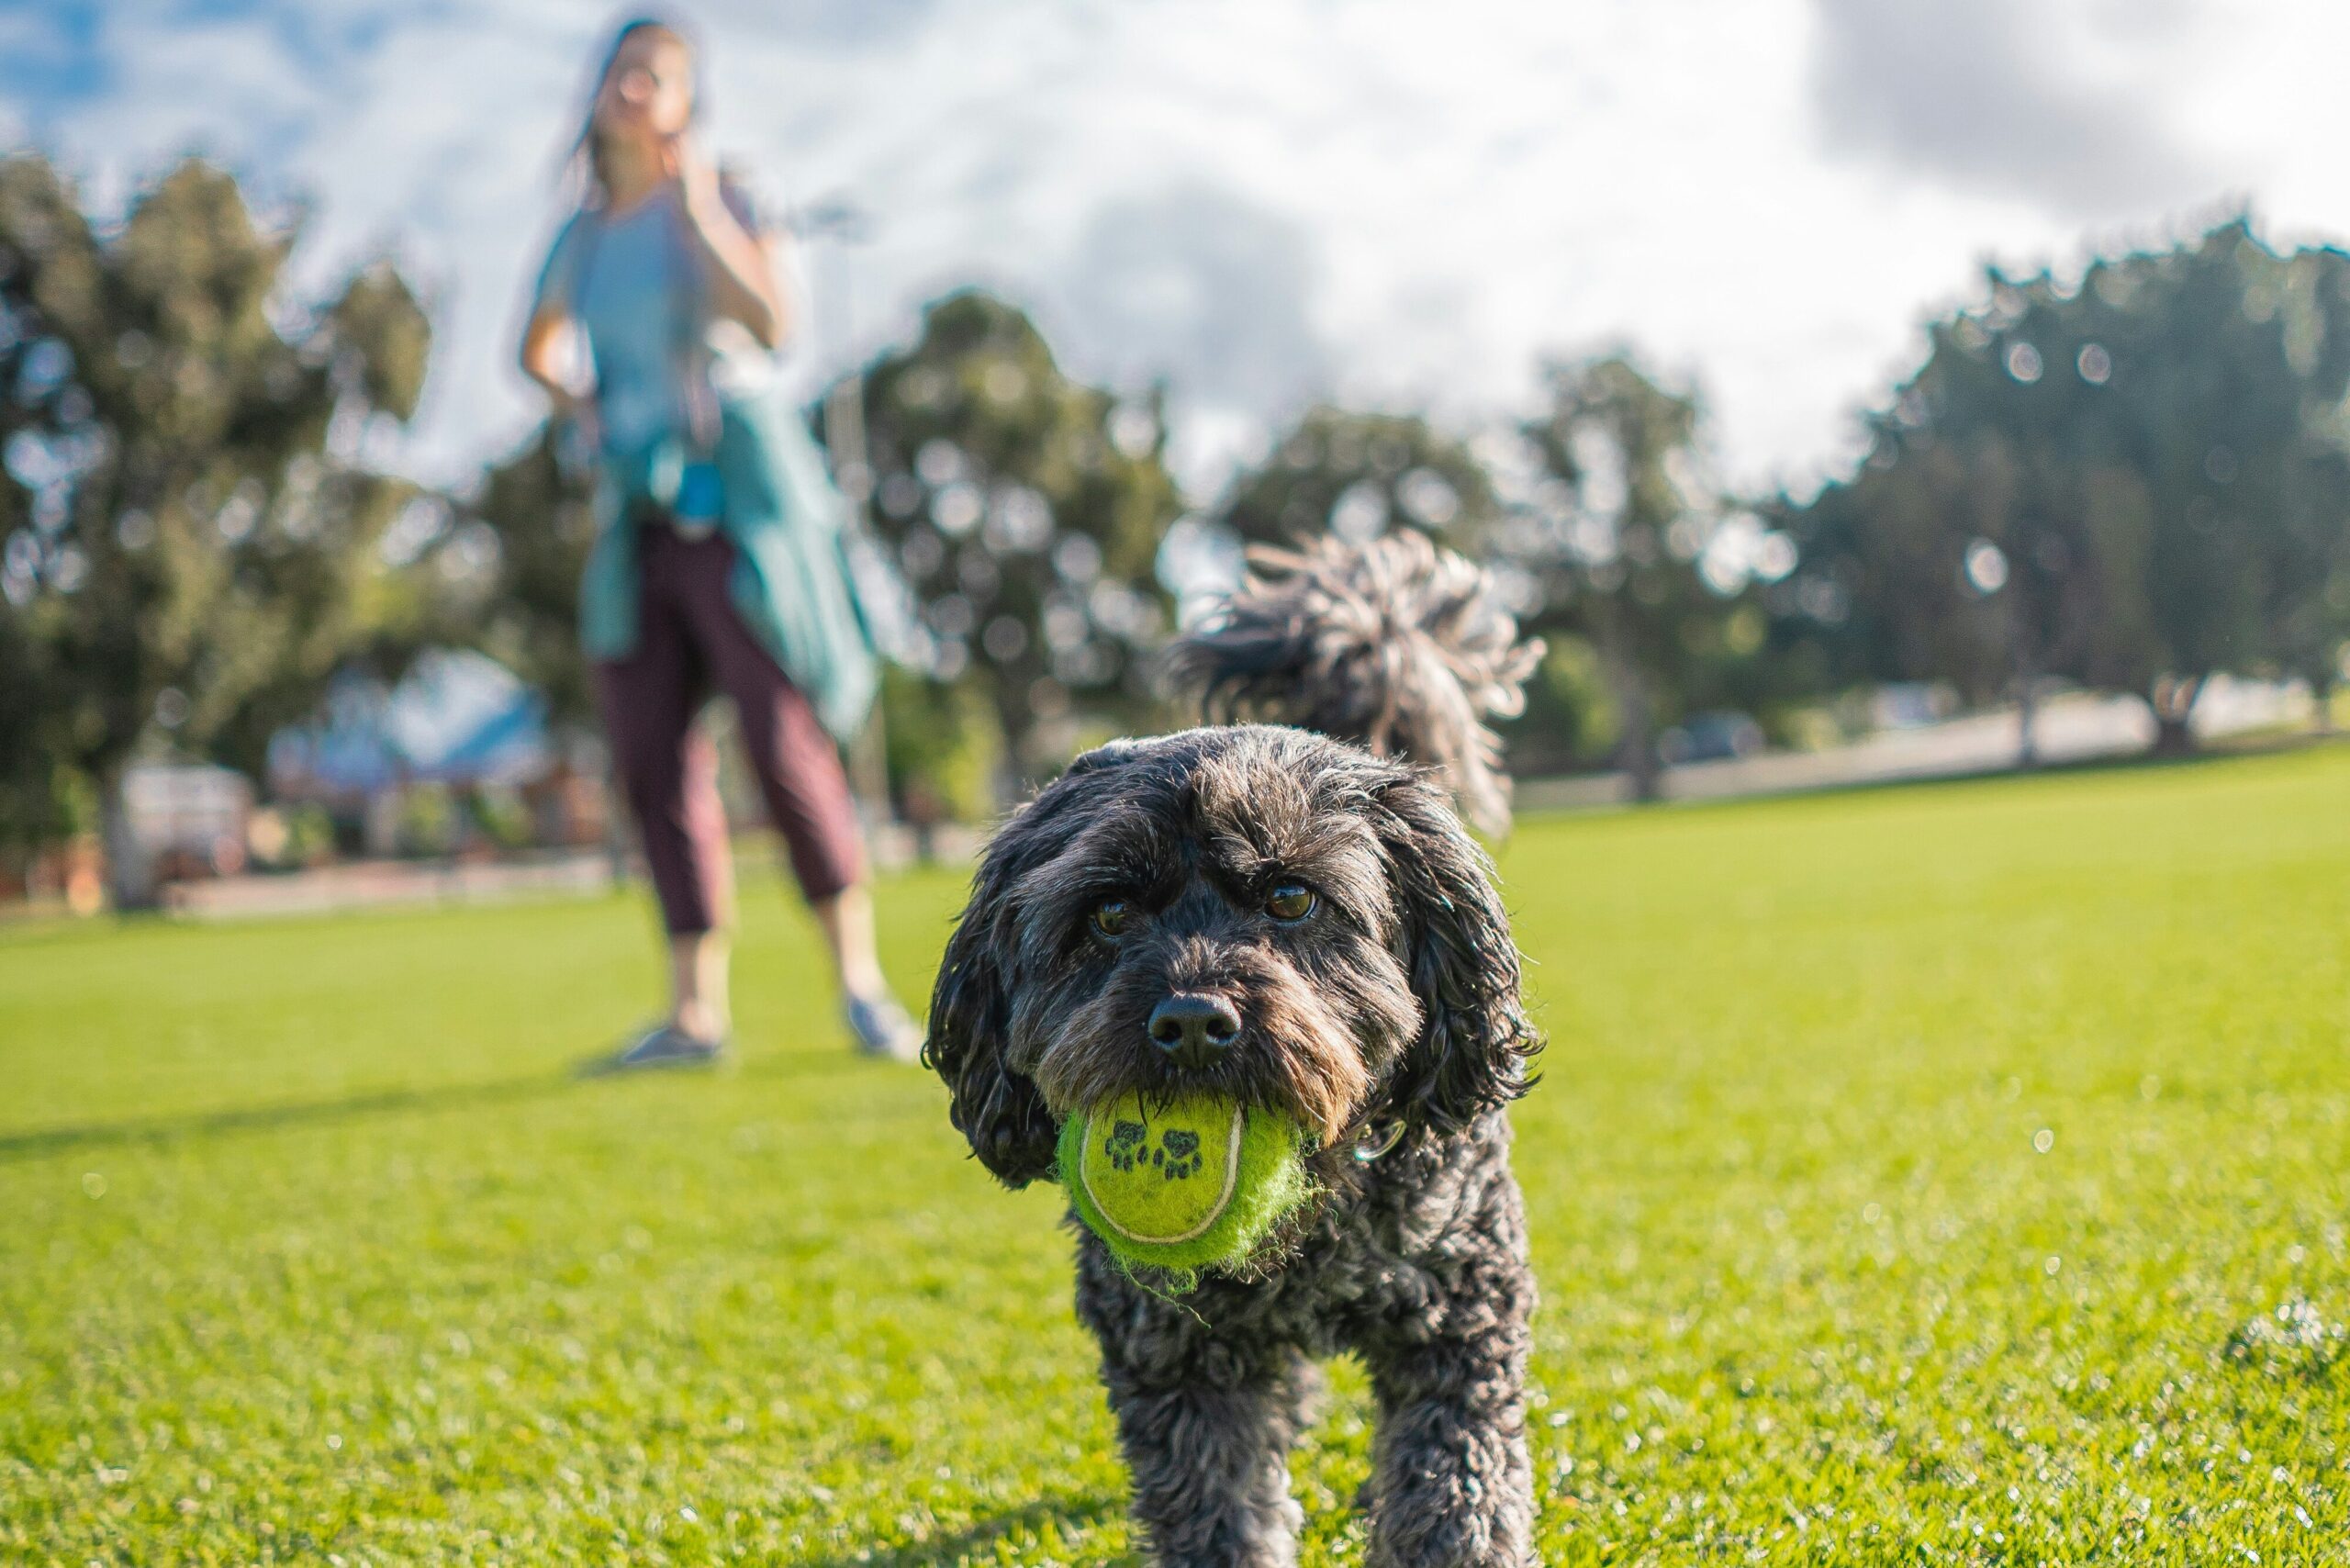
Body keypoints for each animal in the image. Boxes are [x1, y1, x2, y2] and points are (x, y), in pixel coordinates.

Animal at [925, 728, 1550, 1568]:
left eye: (1292, 898)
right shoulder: (1176, 1355)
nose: (1193, 1020)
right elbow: (1216, 1506)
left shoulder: (1459, 1312)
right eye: (1110, 912)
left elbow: (1457, 1479)